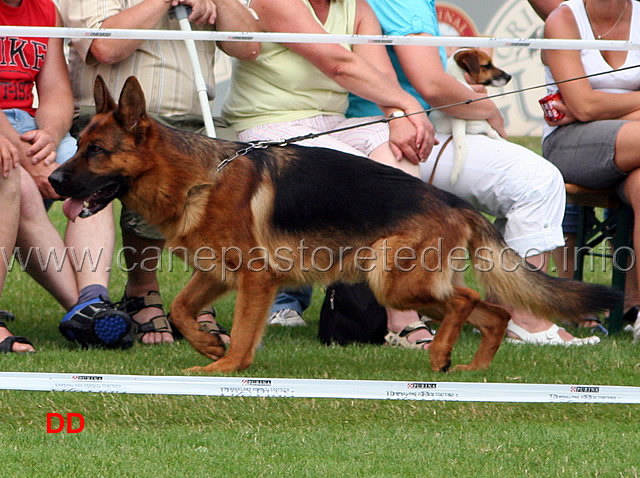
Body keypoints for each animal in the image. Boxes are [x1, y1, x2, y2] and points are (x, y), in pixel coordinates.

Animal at [51, 75, 624, 374]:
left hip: (391, 279)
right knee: (496, 311)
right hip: (405, 282)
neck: (198, 178)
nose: (54, 180)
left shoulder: (255, 279)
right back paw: (470, 367)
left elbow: (243, 334)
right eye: (78, 145)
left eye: (96, 152)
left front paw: (224, 367)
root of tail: (451, 200)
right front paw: (209, 346)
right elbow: (179, 310)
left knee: (465, 301)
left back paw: (442, 352)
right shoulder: (215, 273)